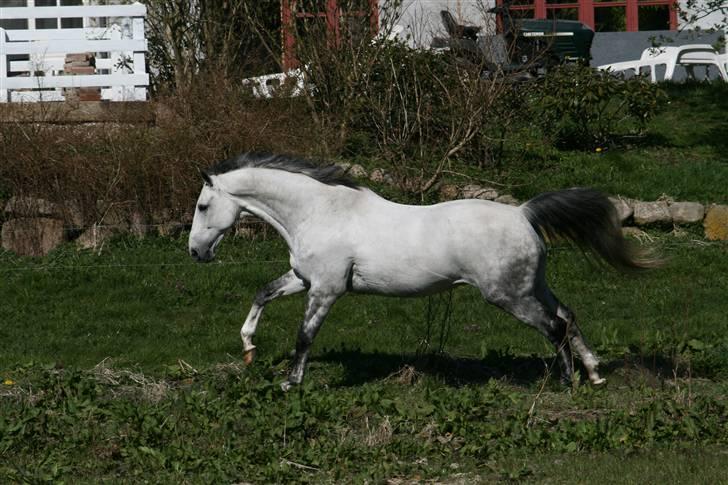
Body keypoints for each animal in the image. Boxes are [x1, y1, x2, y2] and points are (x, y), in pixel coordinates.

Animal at [188, 151, 656, 390]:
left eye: (203, 206)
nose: (196, 253)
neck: (321, 212)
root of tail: (523, 213)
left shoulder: (325, 289)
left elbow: (304, 336)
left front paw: (291, 384)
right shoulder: (304, 280)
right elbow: (263, 292)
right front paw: (249, 348)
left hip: (509, 296)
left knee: (555, 327)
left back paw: (566, 382)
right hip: (532, 287)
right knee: (568, 317)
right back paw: (595, 374)